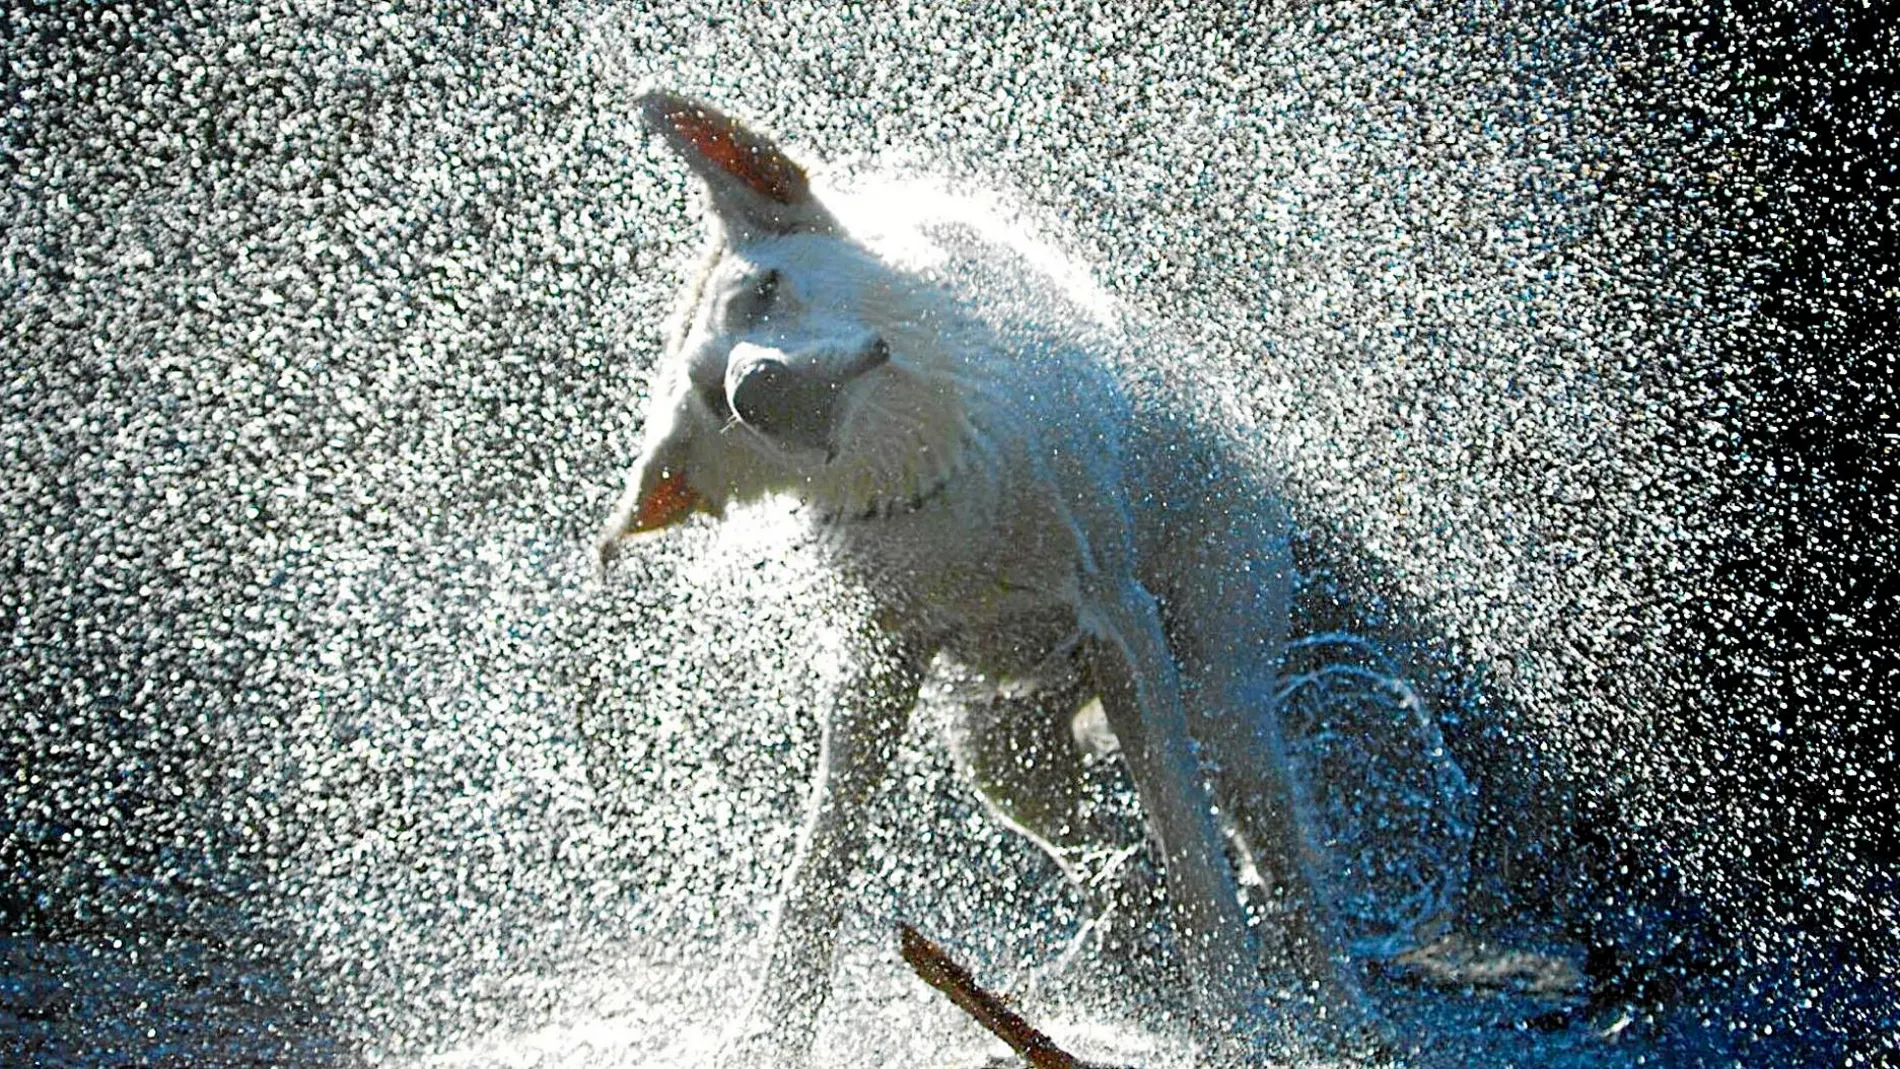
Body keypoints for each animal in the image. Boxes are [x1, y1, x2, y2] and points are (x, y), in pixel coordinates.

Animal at [600, 93, 1375, 1069]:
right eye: (711, 406)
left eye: (766, 292)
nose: (757, 389)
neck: (936, 473)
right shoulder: (875, 672)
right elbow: (814, 872)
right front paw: (770, 1033)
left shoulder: (1121, 625)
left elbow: (1192, 851)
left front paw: (1241, 1027)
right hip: (1002, 756)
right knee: (1106, 855)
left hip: (1218, 686)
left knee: (1279, 860)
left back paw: (1342, 1016)